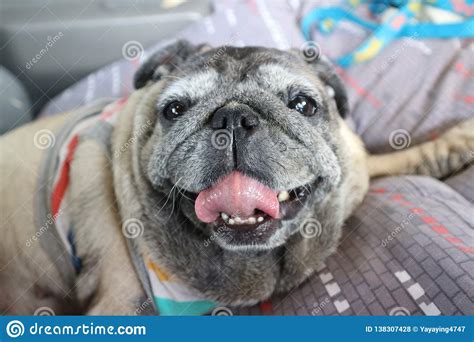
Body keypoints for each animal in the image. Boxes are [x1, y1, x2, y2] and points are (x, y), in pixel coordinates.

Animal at [0, 40, 474, 316]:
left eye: (303, 105)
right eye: (175, 110)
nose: (232, 116)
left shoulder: (357, 165)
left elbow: (398, 158)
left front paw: (456, 143)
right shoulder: (118, 304)